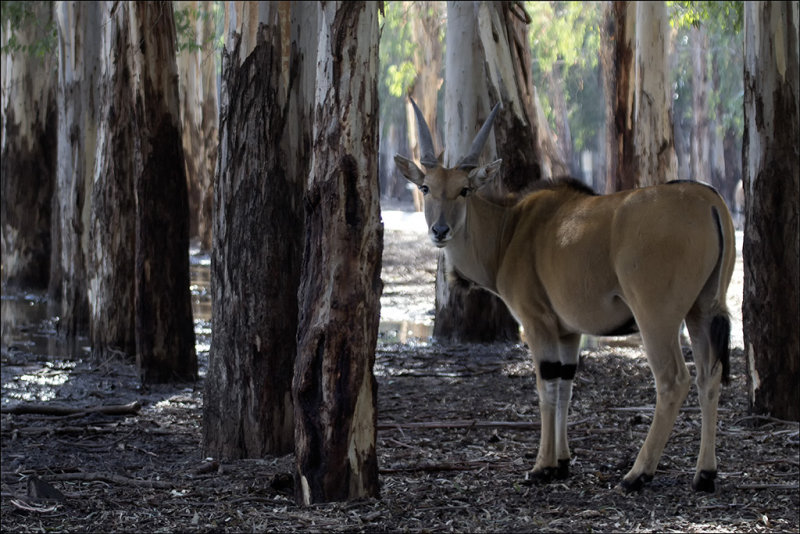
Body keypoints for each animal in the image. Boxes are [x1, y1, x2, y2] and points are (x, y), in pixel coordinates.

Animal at [396, 97, 736, 494]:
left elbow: (546, 387)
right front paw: (562, 462)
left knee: (673, 380)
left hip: (656, 318)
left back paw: (638, 473)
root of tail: (708, 199)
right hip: (701, 312)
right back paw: (705, 474)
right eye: (425, 187)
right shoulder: (569, 332)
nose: (440, 230)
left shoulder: (537, 322)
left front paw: (542, 466)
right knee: (708, 377)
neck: (511, 230)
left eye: (464, 189)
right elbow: (565, 387)